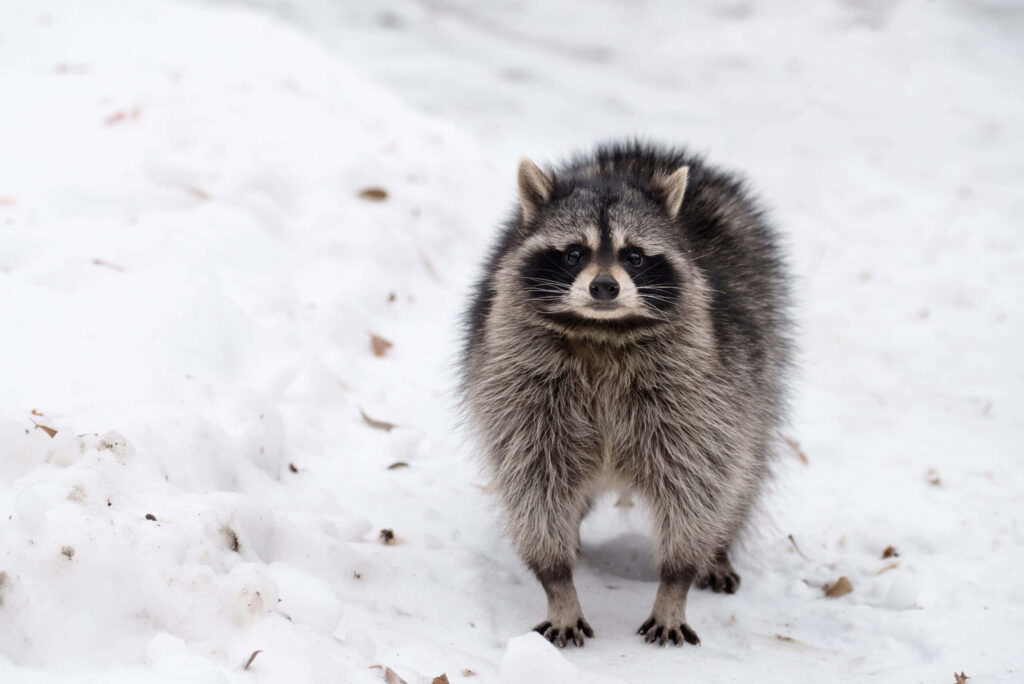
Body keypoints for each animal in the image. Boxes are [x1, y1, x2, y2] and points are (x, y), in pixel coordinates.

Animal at [460, 141, 792, 647]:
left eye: (633, 256)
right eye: (574, 253)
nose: (604, 286)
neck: (601, 333)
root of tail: (641, 150)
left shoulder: (701, 391)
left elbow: (699, 482)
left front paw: (676, 581)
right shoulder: (519, 386)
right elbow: (534, 481)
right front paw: (557, 583)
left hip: (759, 364)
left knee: (745, 470)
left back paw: (718, 547)